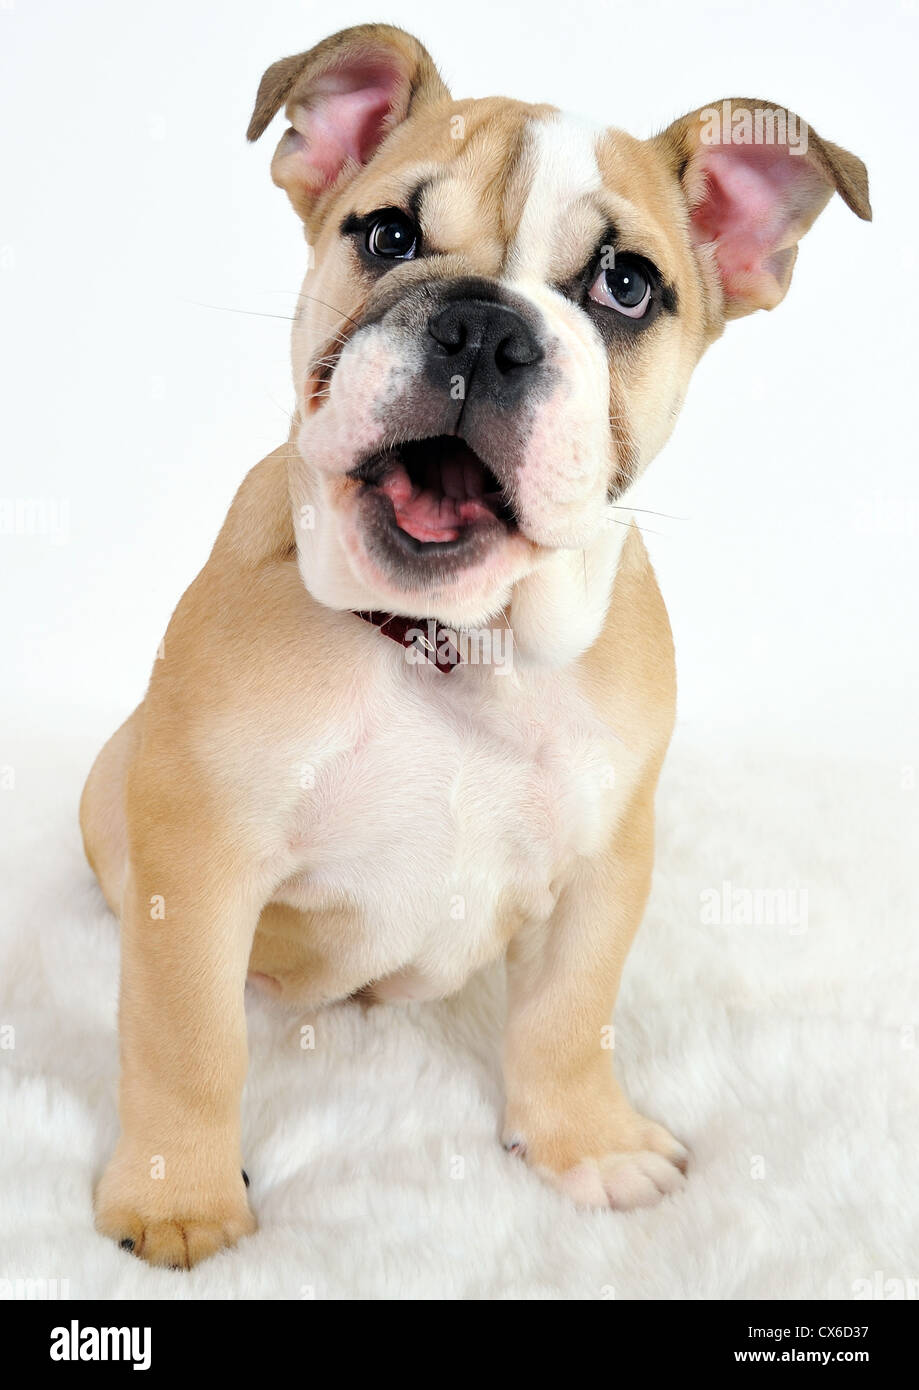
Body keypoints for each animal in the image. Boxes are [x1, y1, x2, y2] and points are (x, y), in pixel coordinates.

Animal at [78, 21, 867, 1267]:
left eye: (626, 285)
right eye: (388, 236)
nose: (483, 325)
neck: (455, 641)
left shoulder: (606, 861)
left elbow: (570, 1014)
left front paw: (586, 1142)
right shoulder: (199, 870)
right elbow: (187, 1039)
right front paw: (177, 1198)